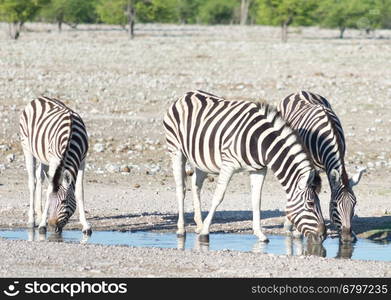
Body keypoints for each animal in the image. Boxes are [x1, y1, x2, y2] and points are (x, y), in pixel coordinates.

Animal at [19, 96, 91, 234]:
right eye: (51, 201)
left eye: (63, 201)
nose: (52, 226)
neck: (71, 137)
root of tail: (38, 98)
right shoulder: (55, 160)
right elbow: (49, 190)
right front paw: (42, 225)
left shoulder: (82, 161)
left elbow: (80, 192)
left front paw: (85, 225)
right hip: (27, 148)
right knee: (32, 182)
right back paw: (32, 220)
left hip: (43, 157)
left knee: (40, 177)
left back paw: (40, 215)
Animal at [163, 89, 328, 244]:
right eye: (310, 204)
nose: (323, 235)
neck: (260, 141)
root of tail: (186, 94)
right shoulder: (228, 164)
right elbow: (218, 196)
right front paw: (205, 232)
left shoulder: (259, 169)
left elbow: (256, 200)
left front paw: (260, 234)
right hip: (176, 150)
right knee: (181, 189)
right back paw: (182, 229)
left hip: (201, 159)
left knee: (195, 184)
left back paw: (198, 224)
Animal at [278, 90, 366, 243]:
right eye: (334, 205)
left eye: (354, 203)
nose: (348, 238)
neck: (327, 135)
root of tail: (301, 91)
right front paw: (297, 231)